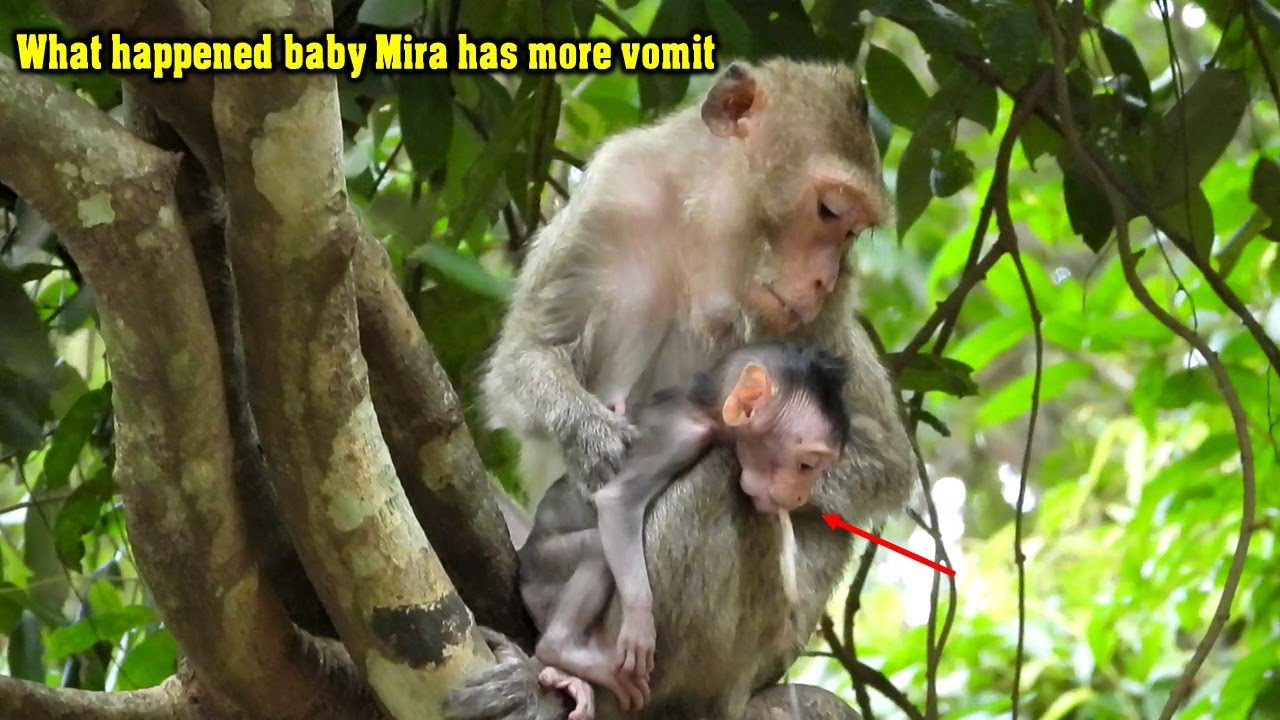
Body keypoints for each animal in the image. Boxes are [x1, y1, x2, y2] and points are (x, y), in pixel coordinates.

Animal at [519, 342, 852, 719]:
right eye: (806, 465)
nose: (801, 496)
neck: (702, 409)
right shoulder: (679, 438)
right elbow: (616, 503)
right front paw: (640, 626)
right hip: (546, 562)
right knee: (596, 550)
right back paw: (560, 648)